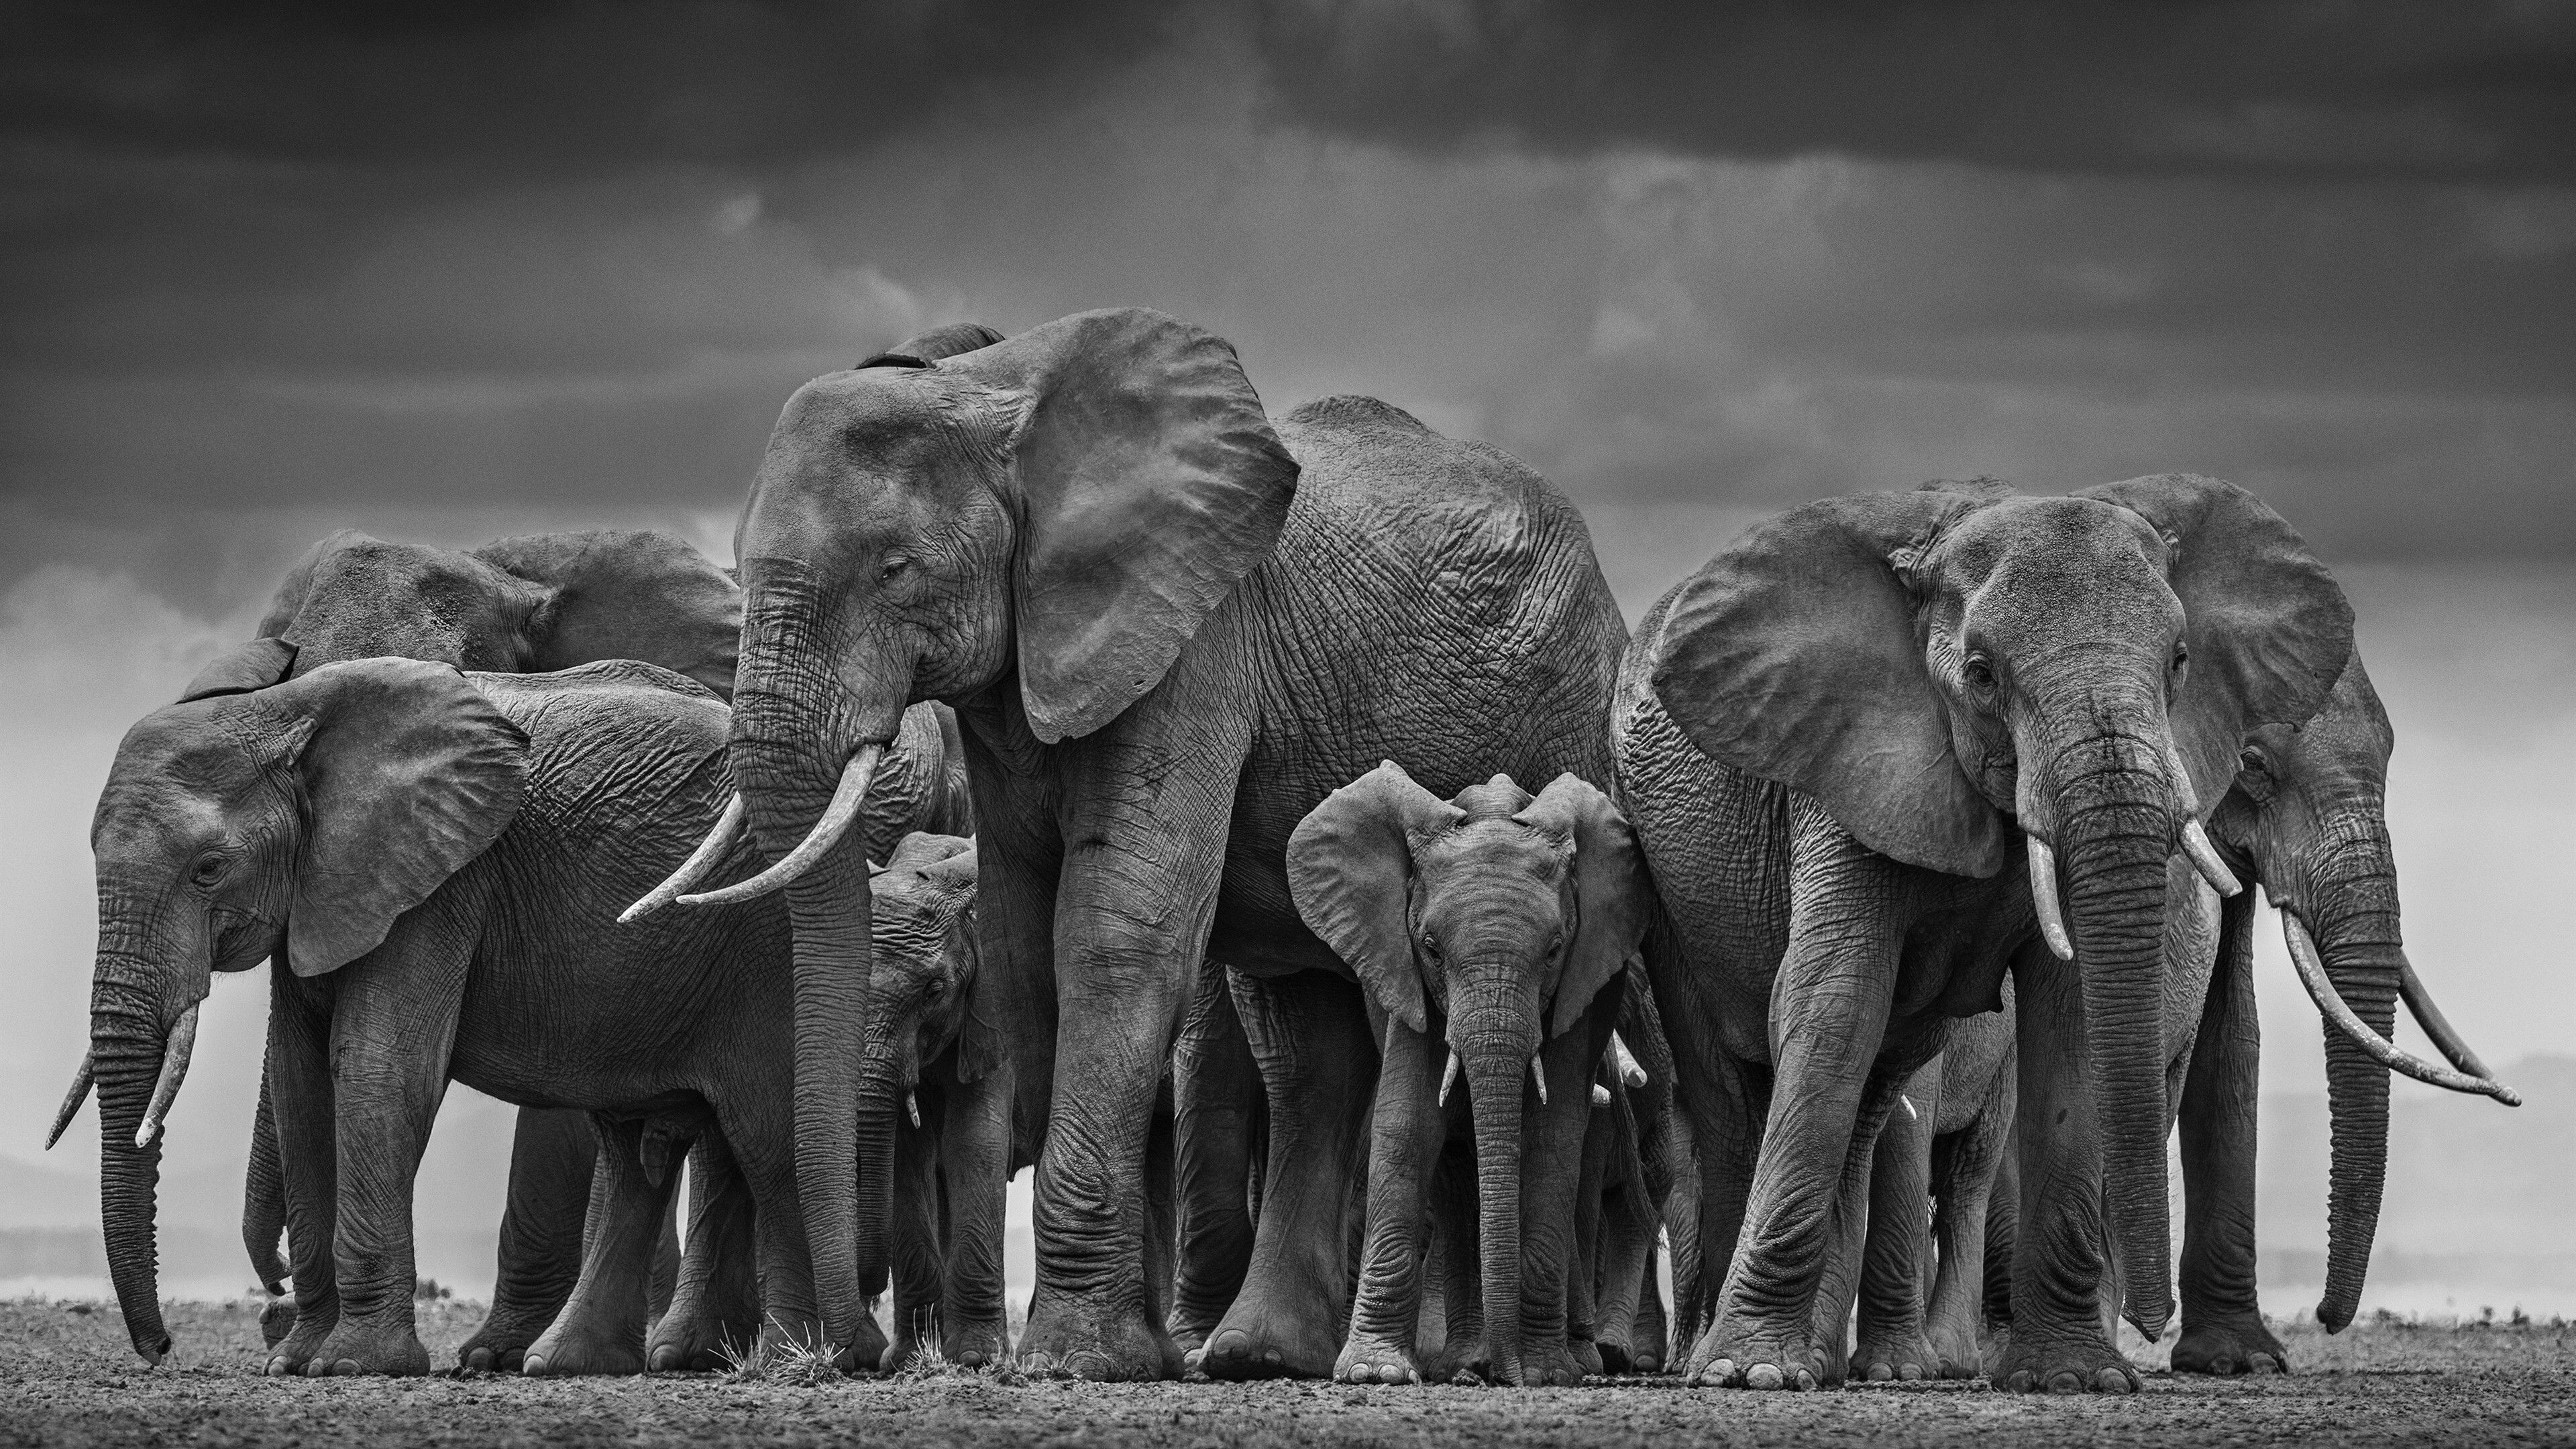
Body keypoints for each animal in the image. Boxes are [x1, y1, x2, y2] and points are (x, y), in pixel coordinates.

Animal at [74, 655, 830, 1373]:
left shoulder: (440, 883)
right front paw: (293, 1362)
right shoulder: (324, 889)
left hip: (761, 944)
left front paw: (353, 1365)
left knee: (759, 1132)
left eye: (207, 869)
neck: (280, 711)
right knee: (657, 1147)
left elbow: (378, 1067)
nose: (161, 1347)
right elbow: (301, 1082)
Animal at [852, 831, 1033, 1372]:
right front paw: (907, 1362)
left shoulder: (993, 1007)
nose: (869, 1291)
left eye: (935, 990)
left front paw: (975, 1359)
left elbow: (974, 1142)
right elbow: (906, 1156)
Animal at [1284, 764, 1652, 1385]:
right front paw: (1375, 1374)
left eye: (1554, 951)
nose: (1511, 1376)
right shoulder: (1403, 974)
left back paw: (1550, 1359)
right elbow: (1409, 1126)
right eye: (1432, 949)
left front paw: (1547, 1374)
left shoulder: (1583, 988)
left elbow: (1553, 1136)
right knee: (1456, 1172)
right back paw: (1467, 1360)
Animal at [1613, 474, 2356, 1393]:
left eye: (2181, 663)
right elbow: (1833, 1000)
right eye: (1980, 674)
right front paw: (1746, 1376)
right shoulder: (1844, 763)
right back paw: (1720, 1358)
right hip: (1668, 888)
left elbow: (2069, 1026)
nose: (2152, 1323)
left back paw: (1828, 1361)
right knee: (1730, 1092)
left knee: (1877, 1091)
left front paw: (2077, 1378)